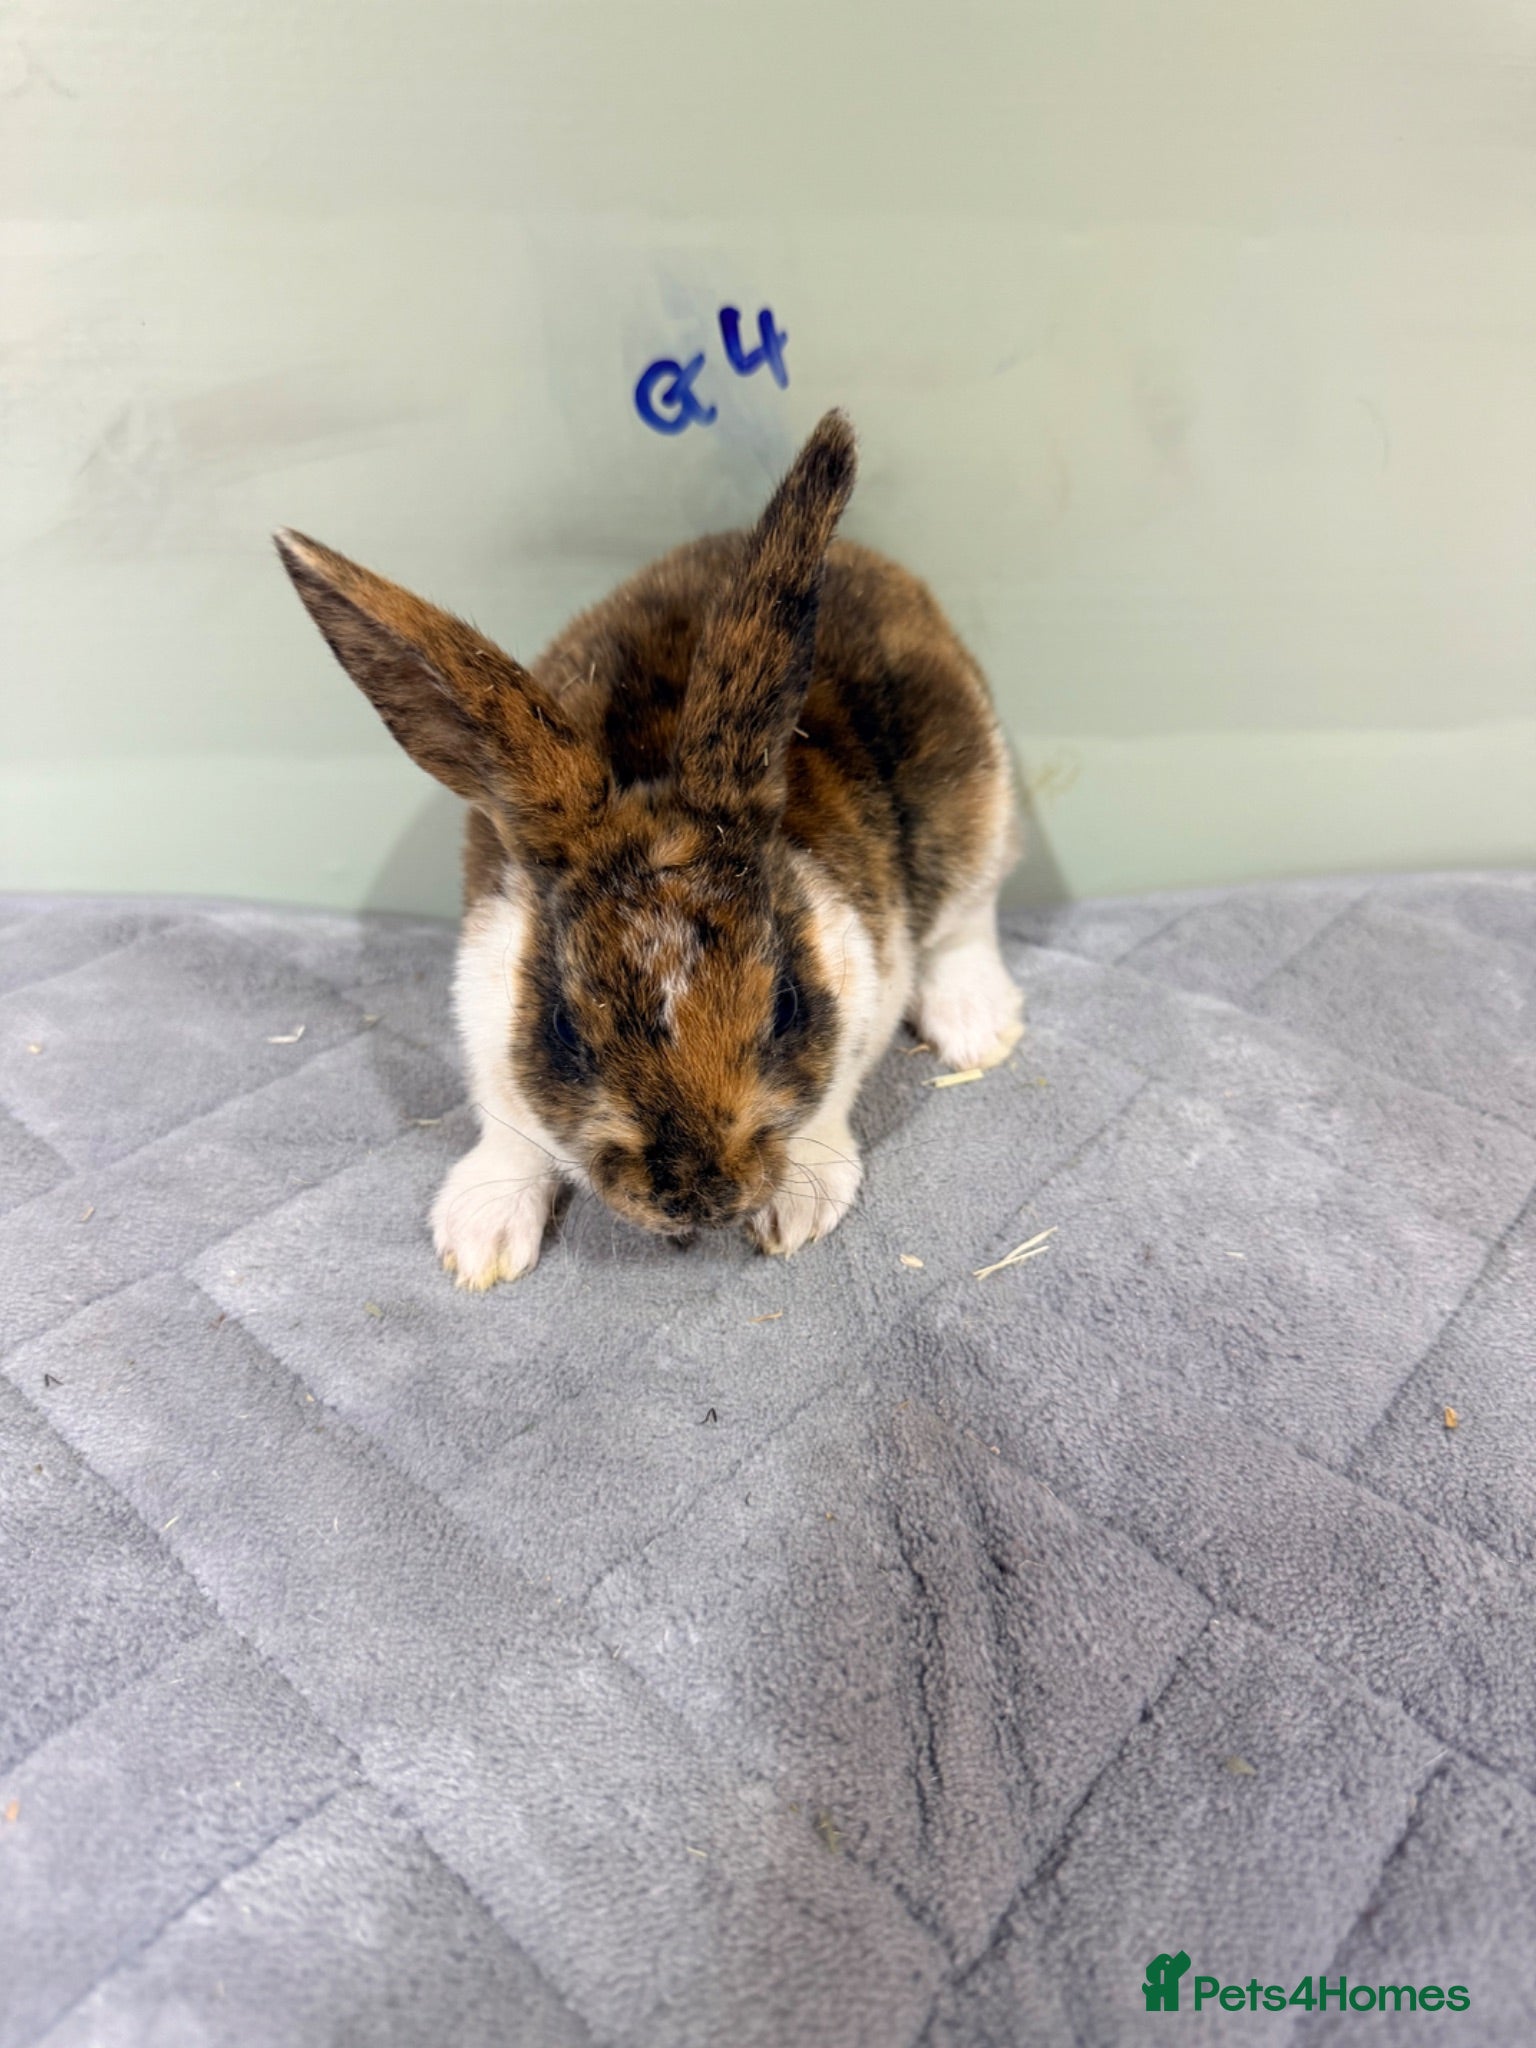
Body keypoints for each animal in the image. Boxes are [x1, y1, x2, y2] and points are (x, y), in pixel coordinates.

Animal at [275, 410, 1022, 1287]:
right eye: (566, 1030)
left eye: (786, 1007)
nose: (700, 1197)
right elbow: (509, 1135)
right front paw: (478, 1246)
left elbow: (828, 1106)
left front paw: (793, 1215)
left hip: (974, 807)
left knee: (967, 923)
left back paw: (980, 1030)